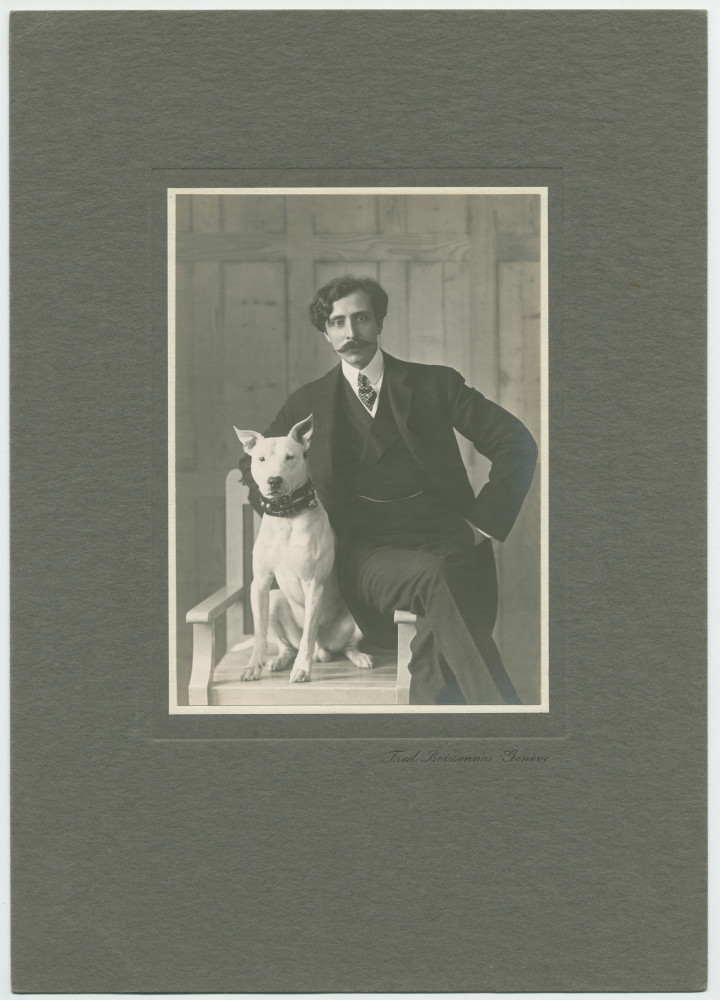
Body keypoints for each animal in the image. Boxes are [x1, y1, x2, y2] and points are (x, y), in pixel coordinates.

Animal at [235, 410, 374, 684]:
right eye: (261, 458)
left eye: (290, 457)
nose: (273, 480)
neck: (286, 516)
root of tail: (323, 649)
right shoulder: (261, 583)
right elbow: (259, 633)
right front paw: (253, 666)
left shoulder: (313, 584)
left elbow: (308, 633)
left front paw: (302, 669)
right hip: (275, 600)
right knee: (287, 645)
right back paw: (278, 660)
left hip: (355, 617)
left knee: (341, 645)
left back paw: (358, 657)